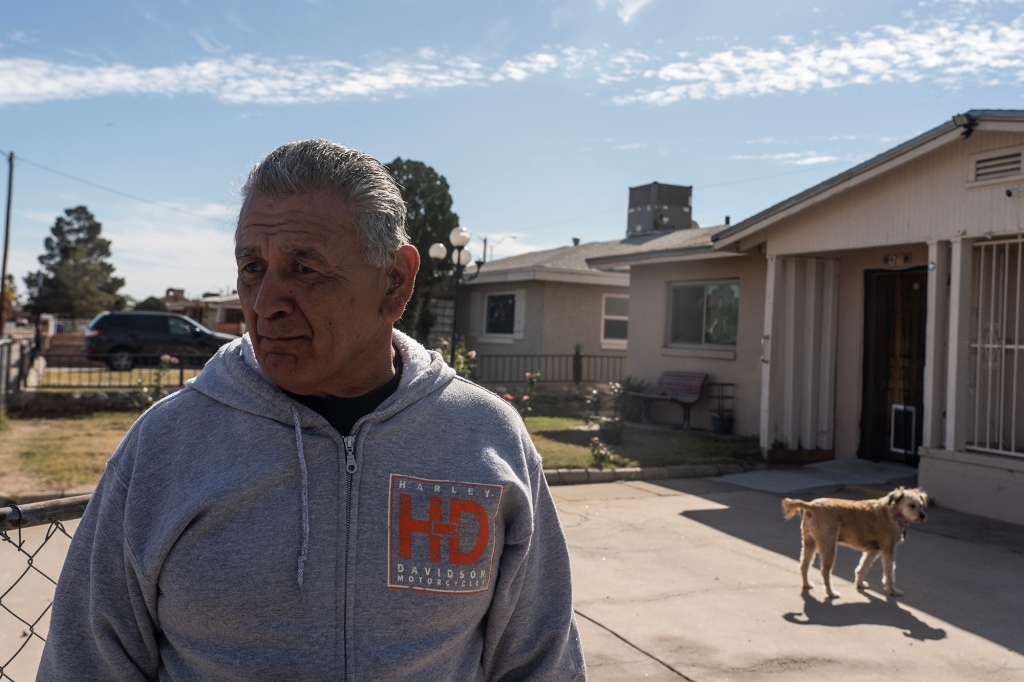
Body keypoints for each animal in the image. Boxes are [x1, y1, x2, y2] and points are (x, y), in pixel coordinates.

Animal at [782, 483, 929, 593]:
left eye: (921, 505)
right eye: (912, 505)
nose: (923, 516)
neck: (894, 512)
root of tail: (811, 506)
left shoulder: (873, 551)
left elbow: (863, 567)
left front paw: (859, 584)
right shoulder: (888, 550)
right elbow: (889, 572)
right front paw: (892, 591)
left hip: (809, 542)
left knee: (804, 565)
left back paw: (807, 585)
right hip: (829, 546)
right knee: (825, 571)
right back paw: (831, 593)